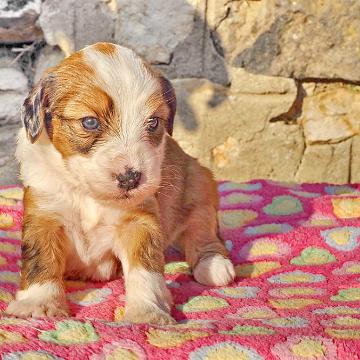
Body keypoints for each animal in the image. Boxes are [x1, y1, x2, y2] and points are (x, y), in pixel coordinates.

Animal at [7, 43, 236, 326]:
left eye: (153, 122)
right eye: (90, 122)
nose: (131, 178)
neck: (88, 194)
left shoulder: (139, 220)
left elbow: (145, 270)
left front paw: (147, 312)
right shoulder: (44, 214)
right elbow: (40, 259)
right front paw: (39, 304)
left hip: (198, 184)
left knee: (203, 230)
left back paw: (213, 265)